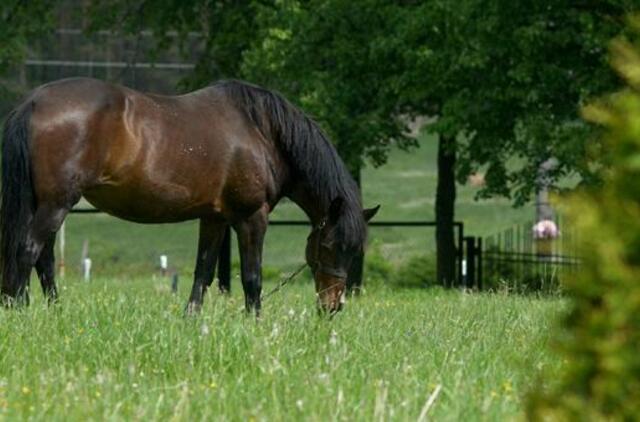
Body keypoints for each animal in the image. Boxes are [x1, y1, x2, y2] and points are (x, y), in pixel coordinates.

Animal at [0, 76, 378, 314]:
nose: (332, 307)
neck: (261, 131)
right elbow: (251, 277)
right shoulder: (251, 218)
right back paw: (19, 310)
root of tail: (33, 102)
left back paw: (52, 311)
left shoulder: (214, 218)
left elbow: (203, 271)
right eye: (332, 246)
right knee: (28, 250)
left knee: (44, 260)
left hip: (45, 204)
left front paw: (192, 318)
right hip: (56, 204)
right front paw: (255, 322)